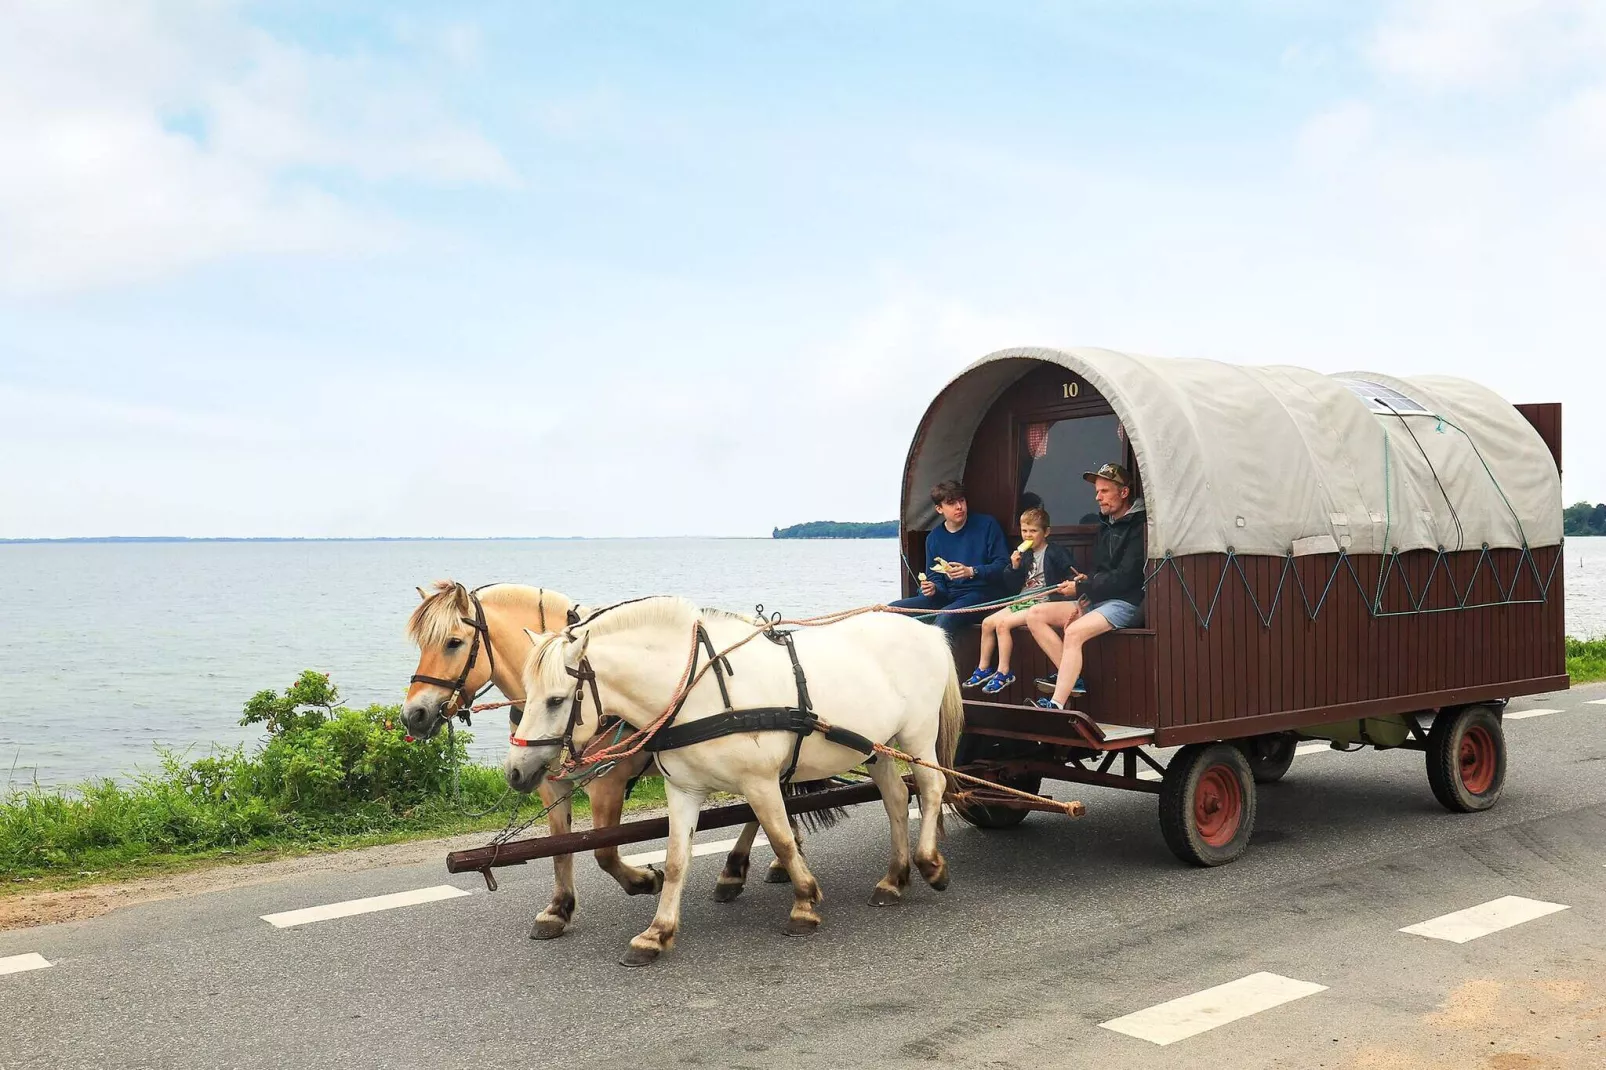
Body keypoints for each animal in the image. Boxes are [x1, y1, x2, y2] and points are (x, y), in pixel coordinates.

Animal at [507, 594, 957, 963]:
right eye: (527, 692)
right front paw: (656, 933)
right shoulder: (684, 788)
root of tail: (929, 631)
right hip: (875, 747)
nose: (515, 771)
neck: (695, 692)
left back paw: (929, 864)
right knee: (896, 797)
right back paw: (893, 879)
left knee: (931, 788)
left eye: (556, 700)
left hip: (916, 736)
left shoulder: (759, 781)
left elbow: (781, 839)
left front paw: (804, 903)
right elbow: (675, 859)